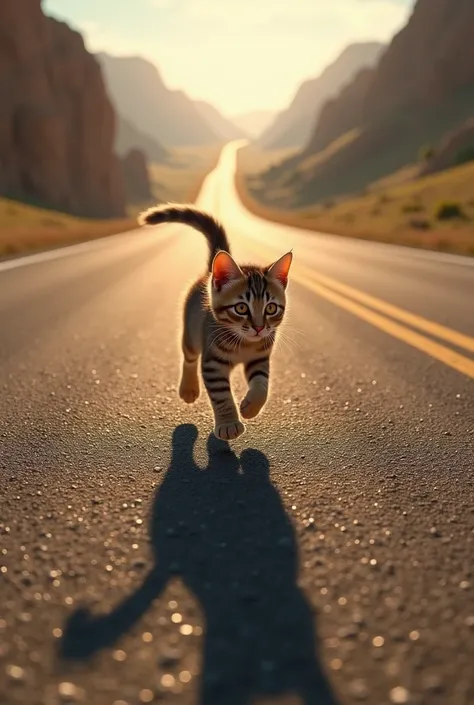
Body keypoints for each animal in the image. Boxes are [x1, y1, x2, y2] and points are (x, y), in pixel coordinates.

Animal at [138, 201, 292, 438]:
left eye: (271, 308)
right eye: (241, 308)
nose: (258, 328)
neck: (244, 344)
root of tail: (209, 272)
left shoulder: (260, 358)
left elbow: (262, 386)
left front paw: (250, 407)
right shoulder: (212, 363)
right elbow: (221, 395)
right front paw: (228, 424)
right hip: (191, 335)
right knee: (189, 357)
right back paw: (189, 388)